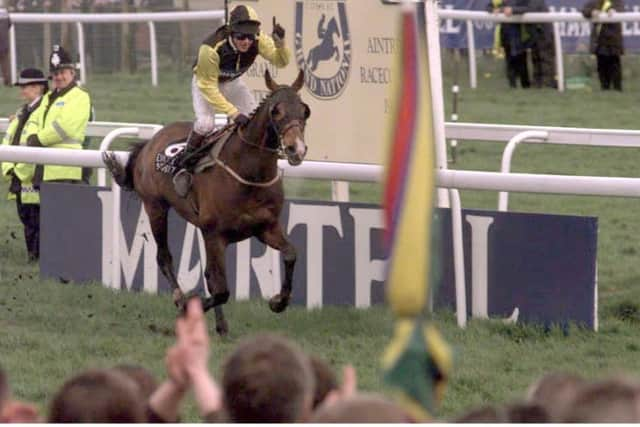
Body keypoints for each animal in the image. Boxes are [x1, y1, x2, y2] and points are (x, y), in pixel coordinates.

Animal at [103, 70, 310, 336]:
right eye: (276, 111)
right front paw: (187, 308)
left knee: (208, 273)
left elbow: (290, 254)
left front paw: (278, 301)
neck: (250, 173)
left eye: (305, 111)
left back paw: (219, 323)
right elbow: (222, 290)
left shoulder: (266, 228)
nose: (297, 149)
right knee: (164, 257)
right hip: (155, 207)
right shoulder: (215, 235)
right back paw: (180, 298)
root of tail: (150, 141)